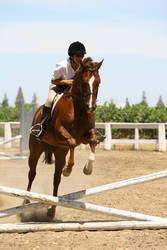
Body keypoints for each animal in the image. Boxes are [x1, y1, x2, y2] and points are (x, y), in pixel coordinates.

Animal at [24, 57, 103, 219]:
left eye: (98, 82)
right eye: (84, 82)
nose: (91, 107)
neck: (79, 108)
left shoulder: (86, 135)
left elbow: (92, 142)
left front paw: (87, 169)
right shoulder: (61, 130)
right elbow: (72, 141)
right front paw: (68, 170)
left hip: (60, 151)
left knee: (56, 178)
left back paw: (52, 209)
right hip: (35, 150)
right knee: (32, 174)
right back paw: (26, 202)